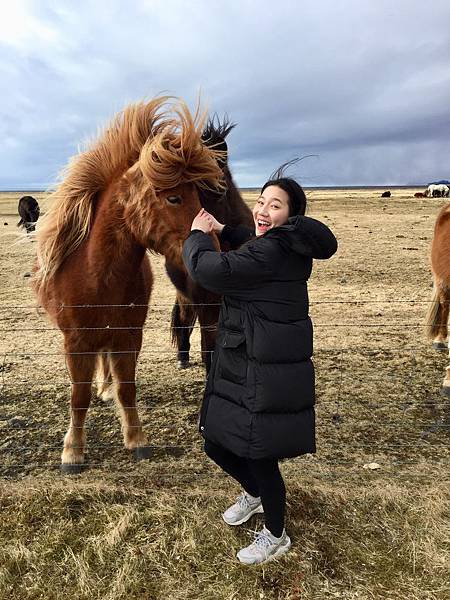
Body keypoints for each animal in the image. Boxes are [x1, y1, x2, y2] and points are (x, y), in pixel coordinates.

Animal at [33, 97, 225, 474]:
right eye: (174, 198)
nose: (215, 252)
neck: (98, 275)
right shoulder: (76, 342)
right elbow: (78, 396)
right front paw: (73, 452)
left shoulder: (129, 335)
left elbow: (127, 389)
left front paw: (136, 439)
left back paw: (106, 389)